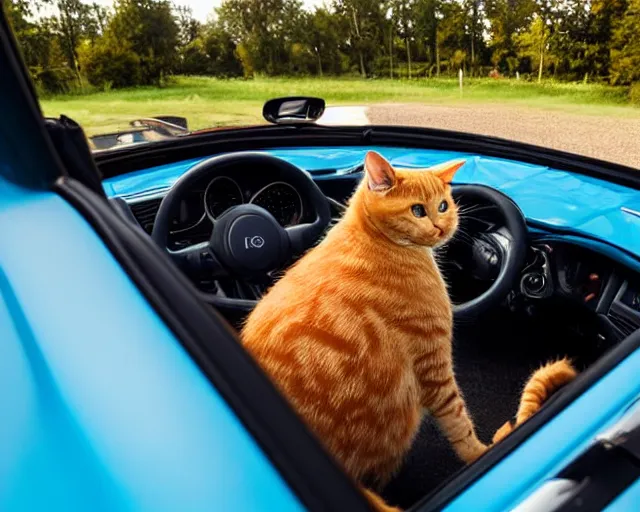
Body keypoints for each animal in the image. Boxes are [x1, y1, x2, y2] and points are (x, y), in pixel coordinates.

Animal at [242, 151, 488, 508]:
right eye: (418, 210)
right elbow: (458, 419)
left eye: (443, 205)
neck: (374, 238)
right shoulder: (433, 360)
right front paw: (479, 453)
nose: (443, 226)